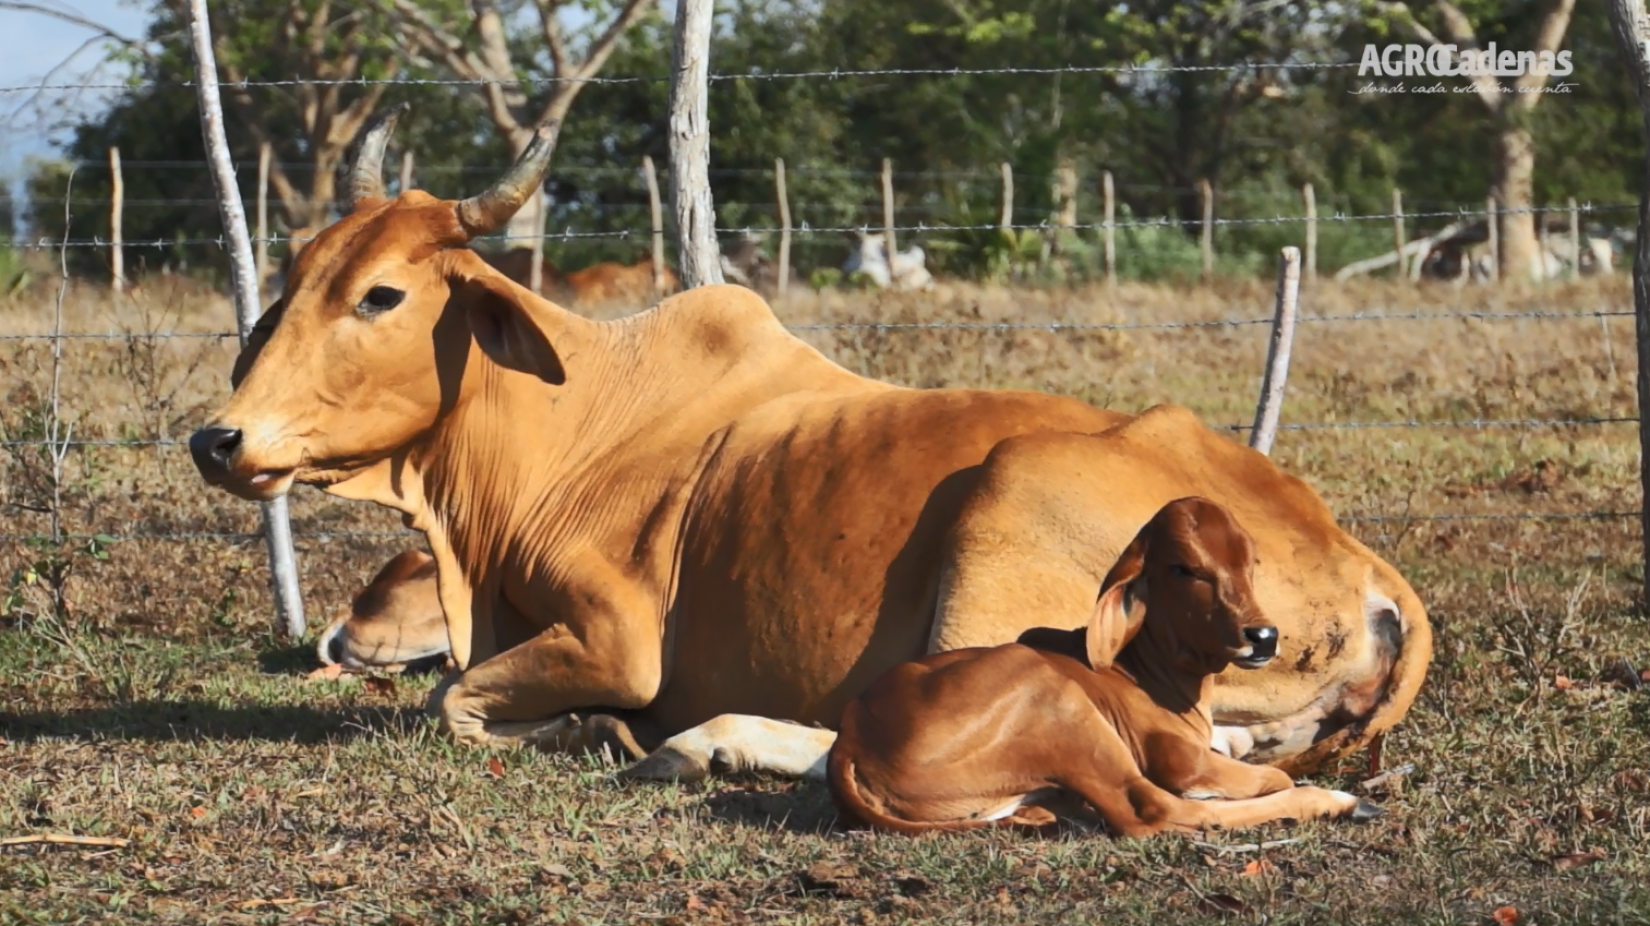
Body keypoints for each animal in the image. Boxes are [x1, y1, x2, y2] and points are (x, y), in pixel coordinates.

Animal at [189, 108, 1432, 779]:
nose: (219, 437)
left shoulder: (620, 636)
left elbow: (455, 701)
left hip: (1007, 513)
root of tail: (1362, 563)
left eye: (382, 293)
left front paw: (597, 725)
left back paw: (707, 741)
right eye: (296, 273)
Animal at [825, 498, 1379, 838]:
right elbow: (1269, 777)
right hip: (1064, 711)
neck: (1155, 677)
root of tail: (851, 735)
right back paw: (1341, 800)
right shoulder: (1176, 756)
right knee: (1151, 809)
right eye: (1185, 568)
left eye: (1249, 561)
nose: (1262, 635)